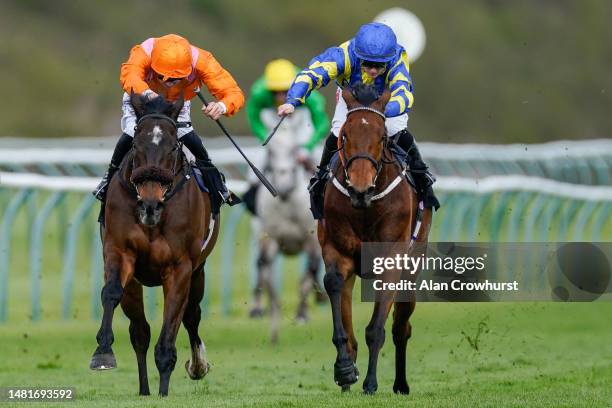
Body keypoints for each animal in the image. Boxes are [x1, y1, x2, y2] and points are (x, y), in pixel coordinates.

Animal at [88, 93, 218, 396]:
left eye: (173, 147)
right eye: (135, 144)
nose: (150, 205)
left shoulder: (181, 267)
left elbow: (171, 324)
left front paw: (165, 390)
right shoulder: (119, 252)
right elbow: (111, 293)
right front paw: (102, 353)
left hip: (198, 272)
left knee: (191, 315)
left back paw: (197, 366)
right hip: (135, 285)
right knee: (140, 332)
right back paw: (145, 390)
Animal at [318, 86, 432, 396]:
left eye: (382, 137)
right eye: (344, 136)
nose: (360, 188)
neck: (365, 207)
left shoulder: (392, 259)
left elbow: (377, 329)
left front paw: (370, 383)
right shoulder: (337, 251)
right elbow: (333, 286)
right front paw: (345, 370)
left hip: (413, 266)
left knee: (401, 328)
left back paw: (401, 384)